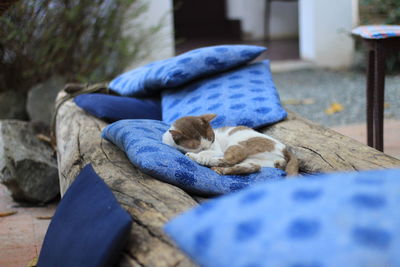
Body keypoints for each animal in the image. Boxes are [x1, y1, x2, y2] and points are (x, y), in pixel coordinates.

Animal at [161, 114, 298, 177]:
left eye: (211, 139)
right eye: (198, 145)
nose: (206, 148)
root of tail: (284, 148)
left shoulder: (218, 149)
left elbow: (210, 153)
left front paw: (201, 154)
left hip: (239, 144)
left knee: (228, 159)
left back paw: (196, 158)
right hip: (256, 162)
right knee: (251, 167)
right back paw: (219, 170)